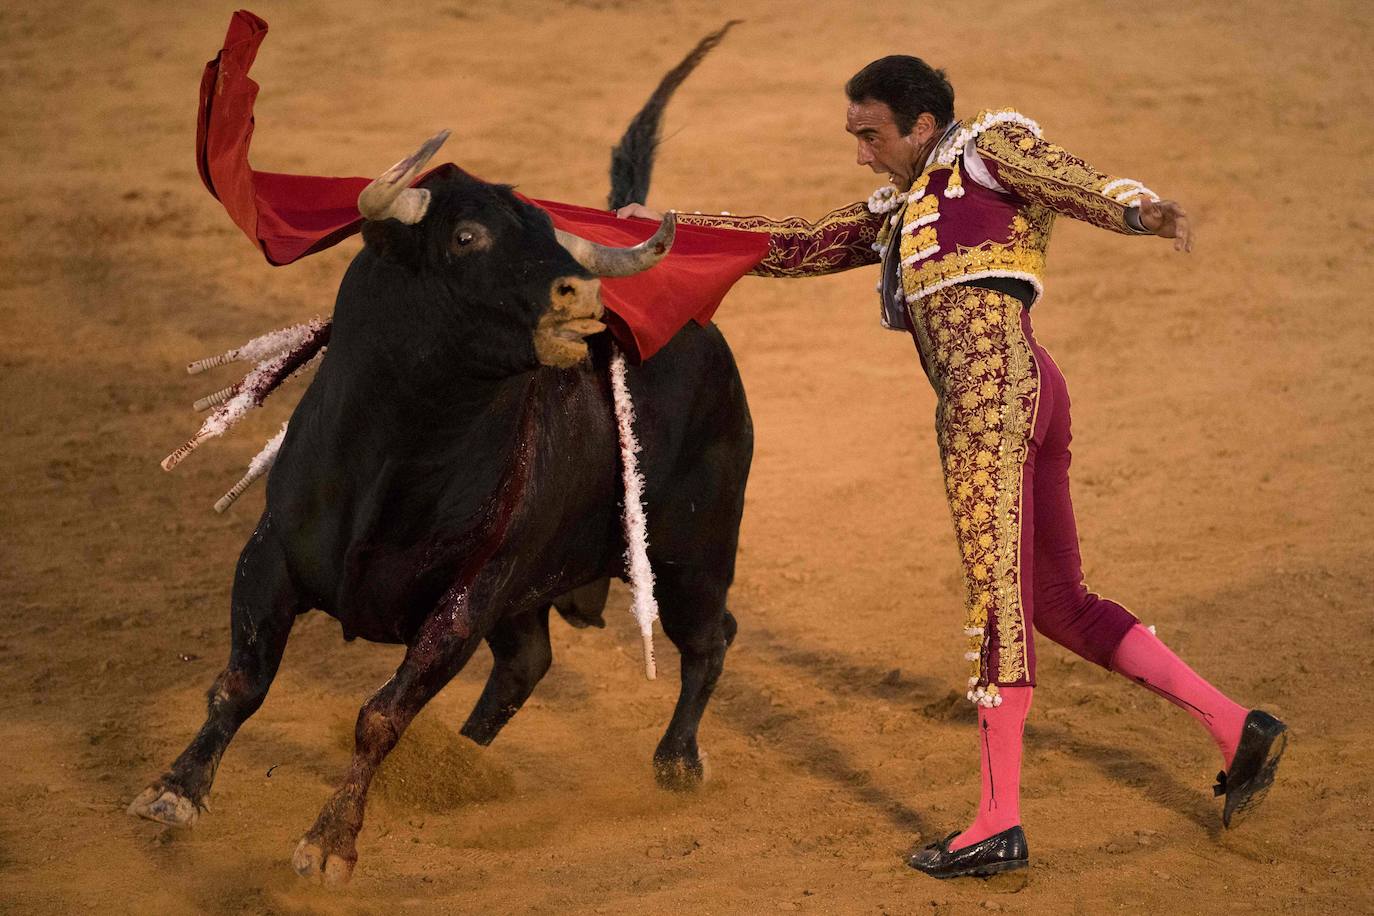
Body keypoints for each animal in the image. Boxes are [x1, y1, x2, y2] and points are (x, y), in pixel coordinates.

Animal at [129, 30, 752, 889]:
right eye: (466, 237)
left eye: (548, 240)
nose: (585, 295)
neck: (400, 447)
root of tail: (701, 334)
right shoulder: (271, 554)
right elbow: (240, 682)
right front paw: (174, 791)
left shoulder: (466, 596)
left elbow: (381, 714)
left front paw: (329, 842)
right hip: (540, 587)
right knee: (527, 664)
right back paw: (459, 766)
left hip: (692, 552)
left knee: (708, 637)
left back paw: (677, 762)